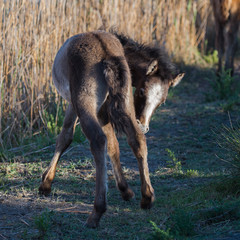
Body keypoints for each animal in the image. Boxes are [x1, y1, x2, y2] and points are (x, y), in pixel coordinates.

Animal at [38, 31, 183, 228]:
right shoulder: (104, 110)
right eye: (142, 91)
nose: (143, 124)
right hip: (125, 107)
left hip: (84, 104)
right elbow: (114, 146)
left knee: (98, 140)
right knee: (137, 139)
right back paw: (147, 197)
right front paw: (125, 190)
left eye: (161, 102)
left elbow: (65, 137)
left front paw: (46, 183)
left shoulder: (75, 105)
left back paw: (96, 212)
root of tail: (107, 55)